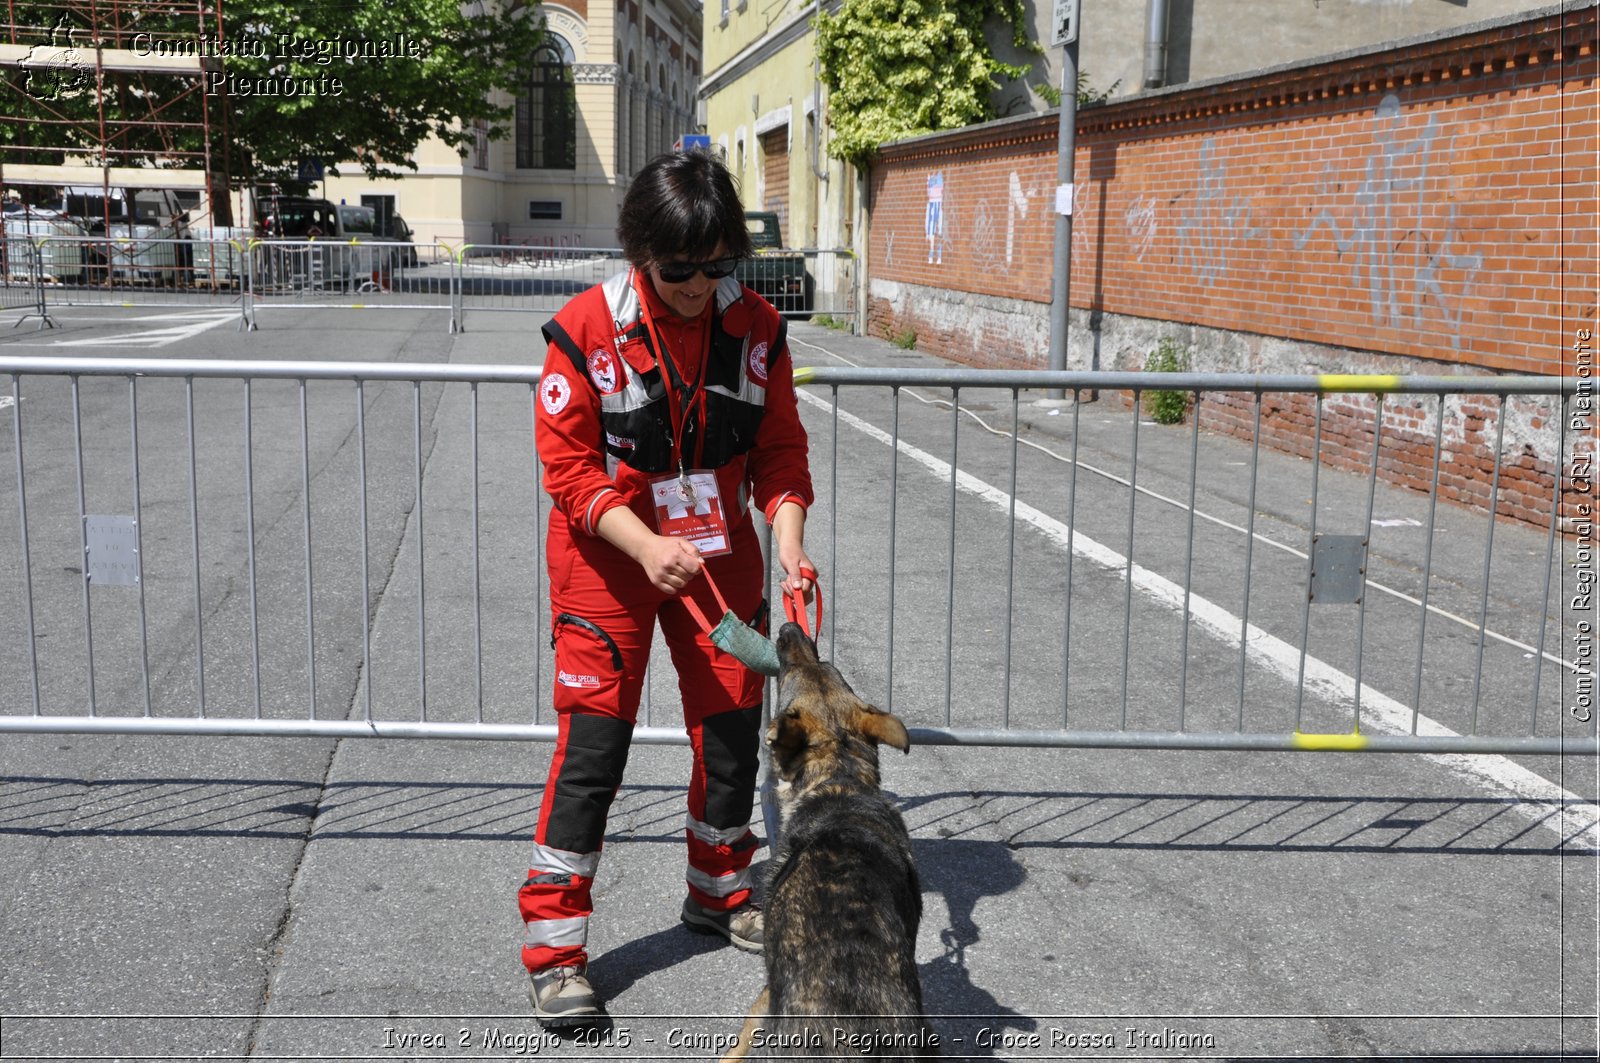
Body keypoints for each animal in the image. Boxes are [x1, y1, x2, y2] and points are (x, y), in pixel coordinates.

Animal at [726, 624, 934, 1063]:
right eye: (831, 668)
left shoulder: (769, 988)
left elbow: (743, 1034)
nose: (789, 628)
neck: (839, 778)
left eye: (790, 676)